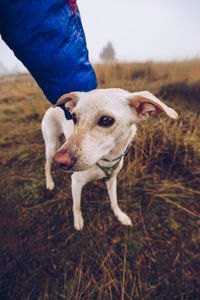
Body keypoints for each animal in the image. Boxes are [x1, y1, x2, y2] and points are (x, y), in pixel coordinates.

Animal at [41, 88, 178, 231]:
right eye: (74, 117)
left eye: (106, 120)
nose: (60, 160)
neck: (107, 160)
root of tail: (51, 107)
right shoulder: (76, 182)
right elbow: (76, 205)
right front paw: (78, 220)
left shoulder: (112, 180)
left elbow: (114, 201)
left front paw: (120, 215)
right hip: (51, 147)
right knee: (46, 166)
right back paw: (49, 183)